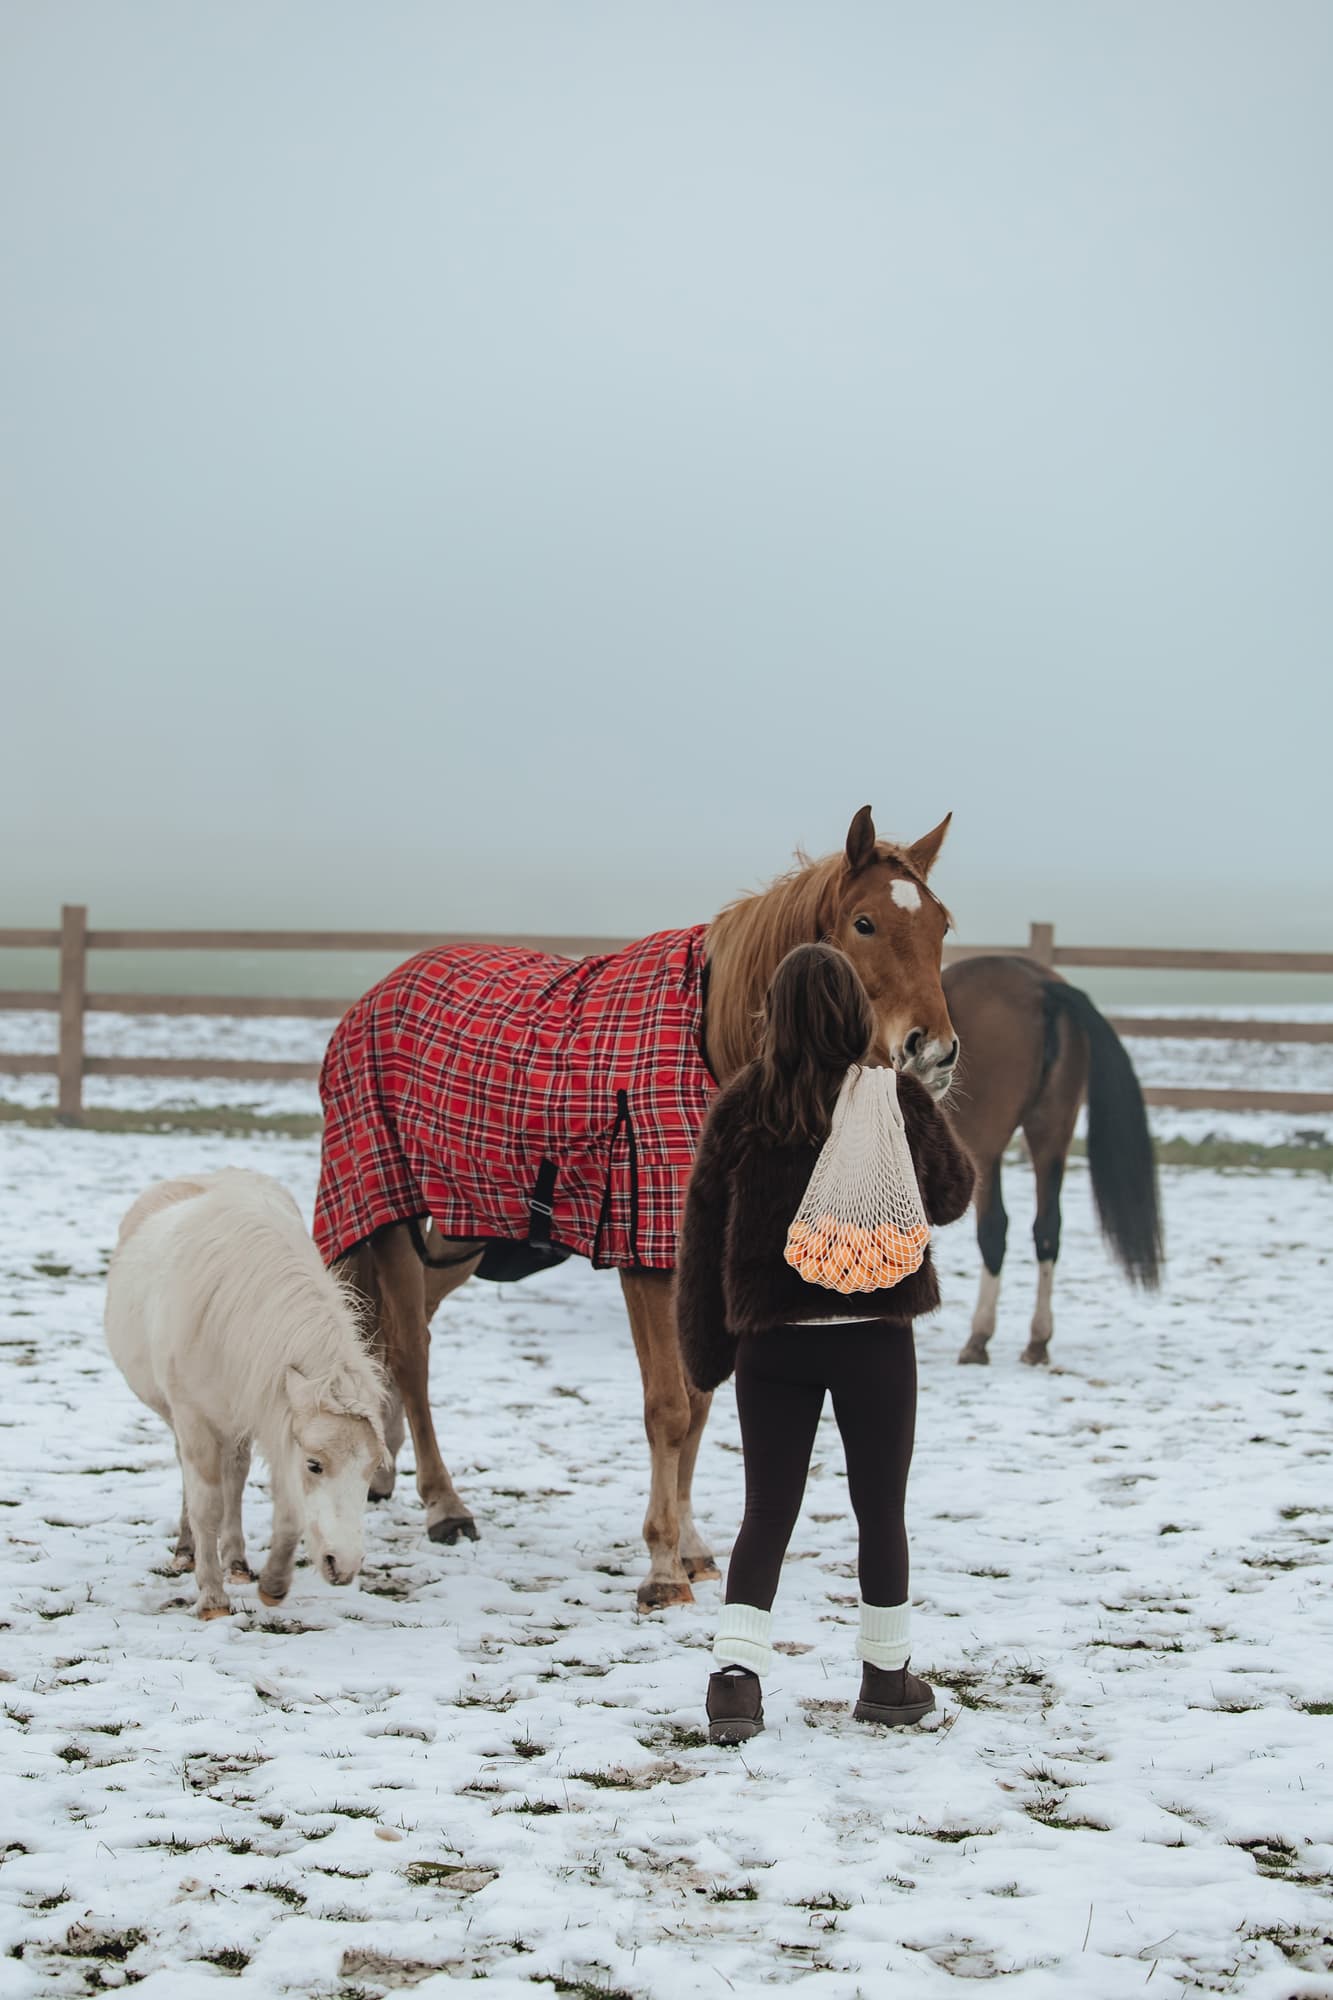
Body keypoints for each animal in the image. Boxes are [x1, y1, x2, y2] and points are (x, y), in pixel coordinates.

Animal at [104, 1170, 386, 1618]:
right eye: (315, 1465)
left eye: (373, 1468)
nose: (344, 1565)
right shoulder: (194, 1419)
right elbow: (205, 1504)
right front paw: (212, 1600)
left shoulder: (273, 1417)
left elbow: (284, 1505)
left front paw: (272, 1584)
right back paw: (187, 1551)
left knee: (233, 1477)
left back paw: (235, 1561)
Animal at [321, 807, 960, 1609]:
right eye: (864, 922)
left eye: (941, 925)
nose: (933, 1053)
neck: (709, 1040)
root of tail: (377, 994)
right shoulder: (644, 1257)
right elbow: (670, 1408)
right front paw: (661, 1566)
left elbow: (702, 1403)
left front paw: (689, 1547)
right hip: (385, 1210)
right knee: (409, 1352)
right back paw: (443, 1504)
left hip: (464, 1226)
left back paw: (383, 1470)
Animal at [941, 956, 1162, 1367]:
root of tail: (1040, 984)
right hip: (1051, 1135)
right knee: (1047, 1228)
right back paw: (1038, 1339)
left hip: (984, 1147)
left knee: (994, 1230)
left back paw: (979, 1337)